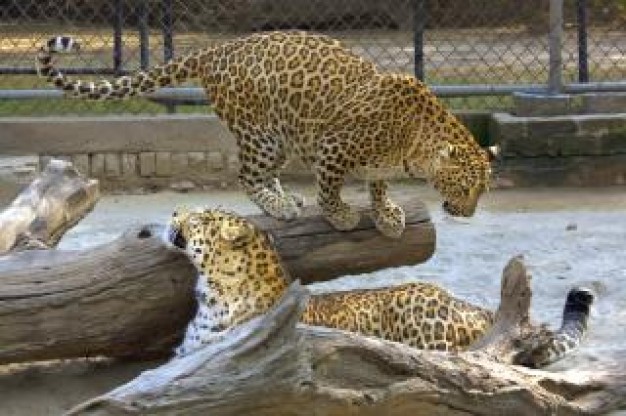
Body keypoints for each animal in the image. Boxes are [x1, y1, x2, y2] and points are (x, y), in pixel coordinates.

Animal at [37, 30, 498, 239]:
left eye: (481, 191)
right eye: (466, 187)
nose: (469, 213)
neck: (414, 141)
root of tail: (219, 49)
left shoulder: (375, 162)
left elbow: (379, 184)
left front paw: (386, 214)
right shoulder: (332, 148)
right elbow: (330, 189)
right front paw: (341, 215)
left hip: (279, 137)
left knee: (264, 175)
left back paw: (287, 197)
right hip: (261, 134)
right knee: (247, 176)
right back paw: (281, 207)